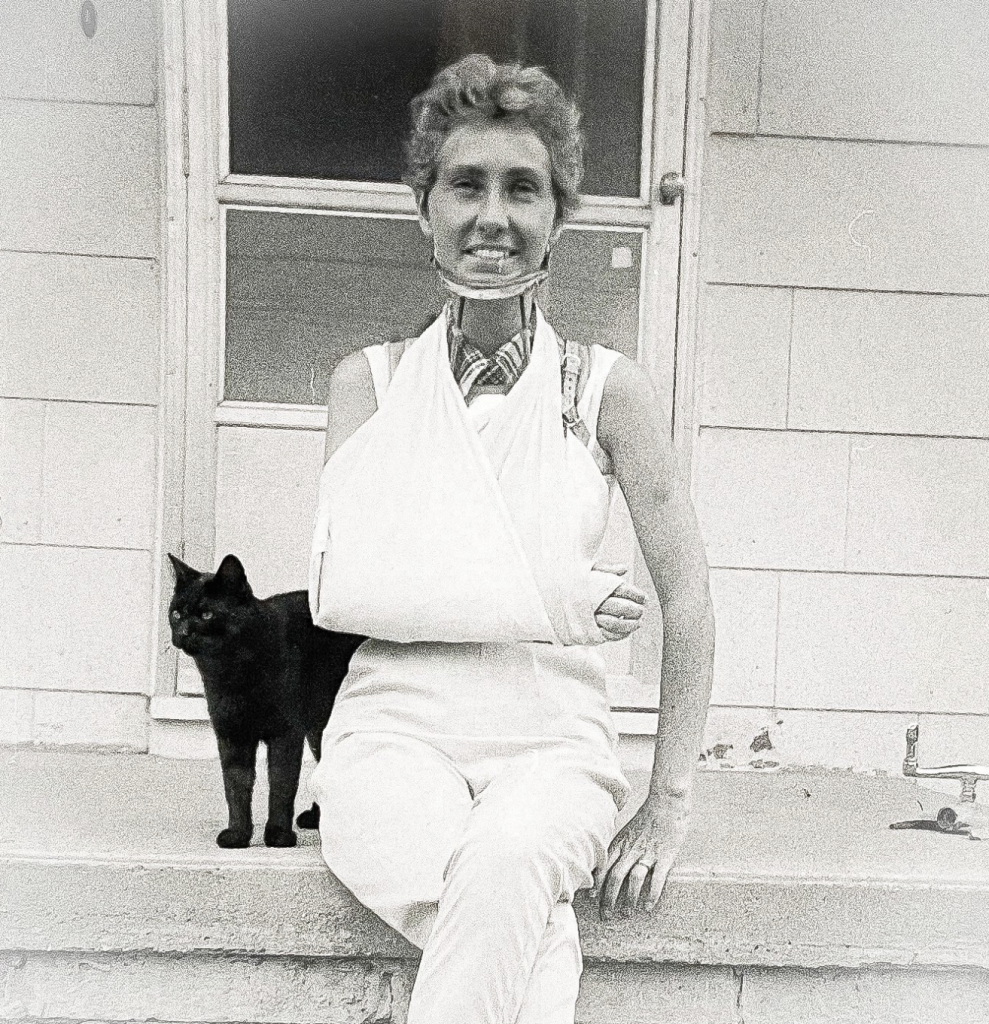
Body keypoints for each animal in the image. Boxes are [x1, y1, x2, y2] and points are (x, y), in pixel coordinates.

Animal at [166, 552, 368, 847]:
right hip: (317, 729)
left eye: (206, 614)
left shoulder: (285, 733)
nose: (182, 633)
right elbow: (236, 786)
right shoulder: (231, 735)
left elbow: (282, 784)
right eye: (176, 613)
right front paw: (238, 834)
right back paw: (318, 818)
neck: (232, 672)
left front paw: (278, 835)